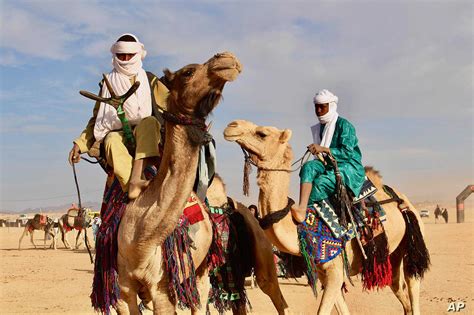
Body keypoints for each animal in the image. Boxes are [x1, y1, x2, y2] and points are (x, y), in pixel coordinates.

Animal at [114, 53, 241, 314]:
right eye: (188, 72)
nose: (226, 59)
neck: (141, 242)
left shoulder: (162, 289)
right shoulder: (123, 287)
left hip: (201, 271)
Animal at [223, 120, 430, 315]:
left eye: (262, 133)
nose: (231, 126)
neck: (301, 226)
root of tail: (401, 199)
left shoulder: (335, 270)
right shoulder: (324, 272)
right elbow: (342, 309)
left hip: (413, 237)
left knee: (412, 282)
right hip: (393, 252)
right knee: (396, 284)